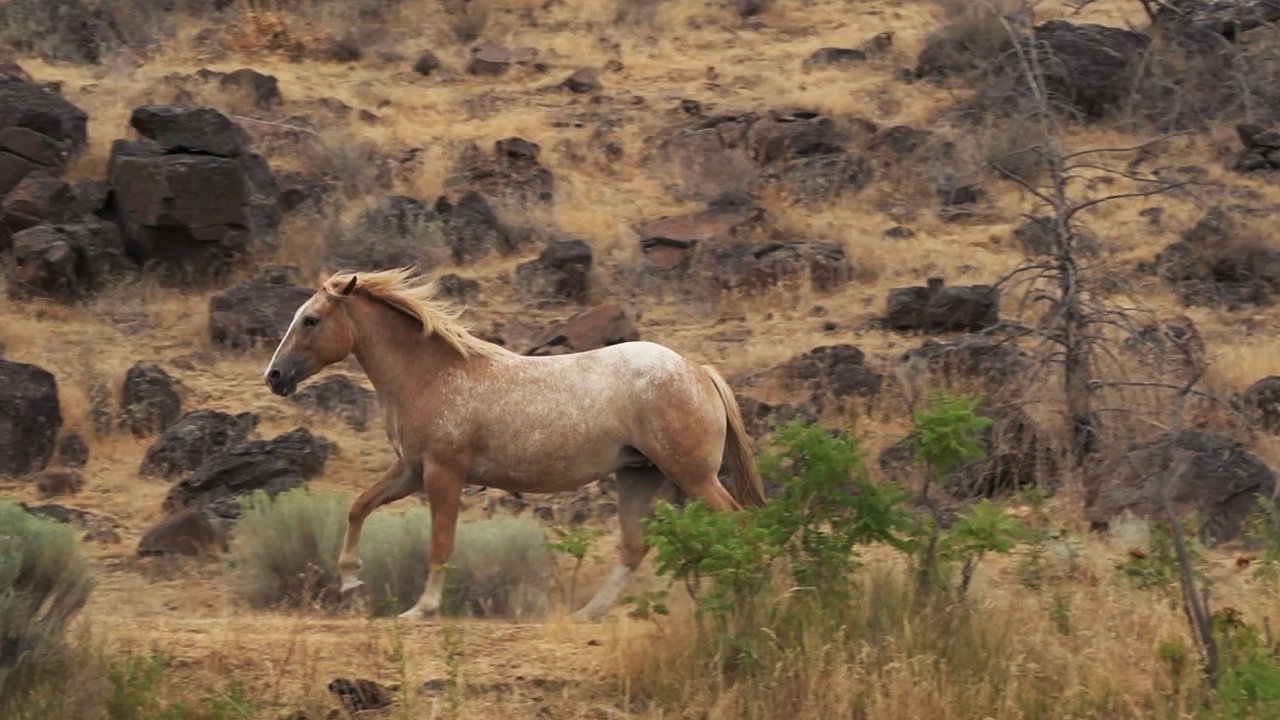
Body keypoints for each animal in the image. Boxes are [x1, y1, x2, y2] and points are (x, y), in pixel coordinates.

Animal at [262, 267, 766, 622]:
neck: (431, 375)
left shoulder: (444, 472)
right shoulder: (411, 470)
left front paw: (421, 609)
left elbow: (440, 542)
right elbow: (359, 507)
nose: (274, 376)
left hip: (692, 475)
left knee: (739, 523)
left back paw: (747, 594)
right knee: (633, 547)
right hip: (637, 476)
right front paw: (350, 581)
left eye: (311, 319)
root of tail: (701, 371)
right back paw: (588, 614)